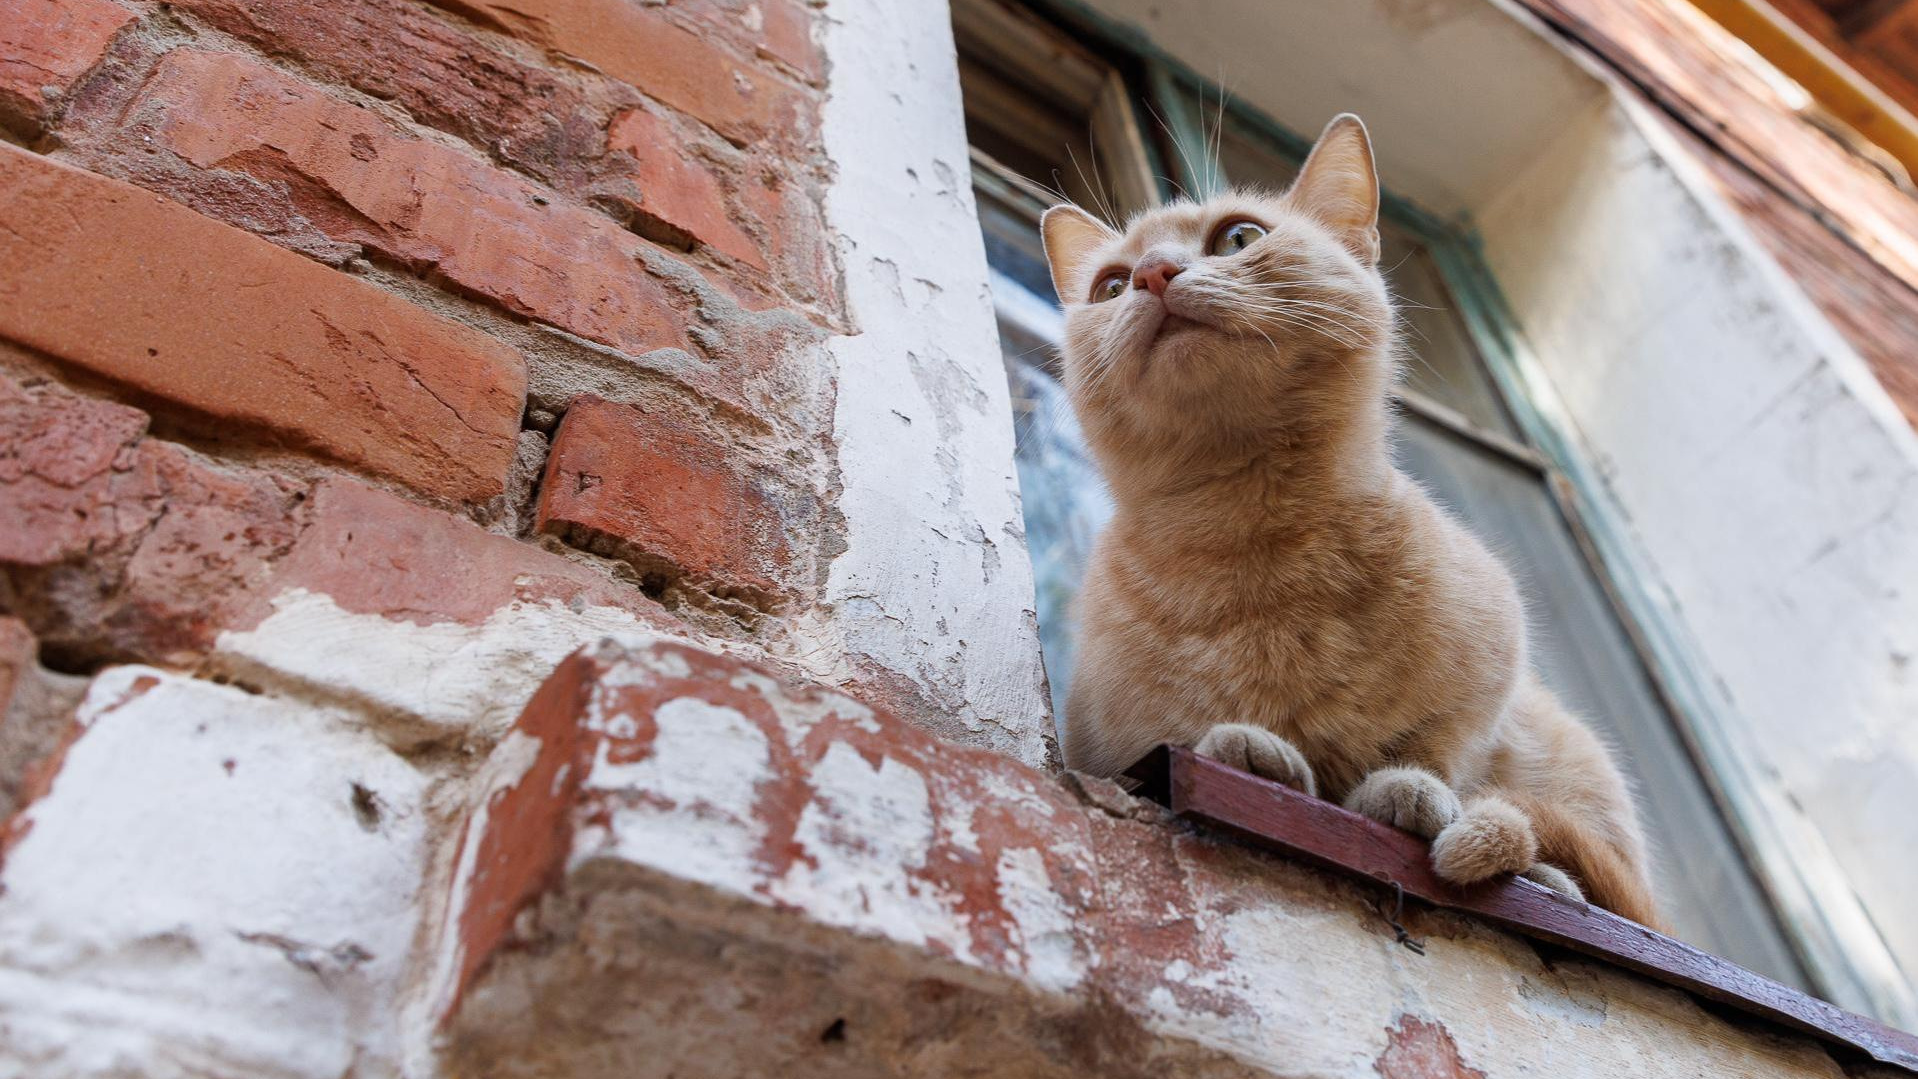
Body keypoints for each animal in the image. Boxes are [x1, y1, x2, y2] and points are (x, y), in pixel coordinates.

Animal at [1043, 114, 1657, 923]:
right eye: (1109, 286)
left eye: (1238, 238)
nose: (1152, 275)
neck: (1250, 532)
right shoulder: (1109, 740)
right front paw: (1256, 754)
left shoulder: (1491, 664)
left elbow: (1437, 748)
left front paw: (1408, 791)